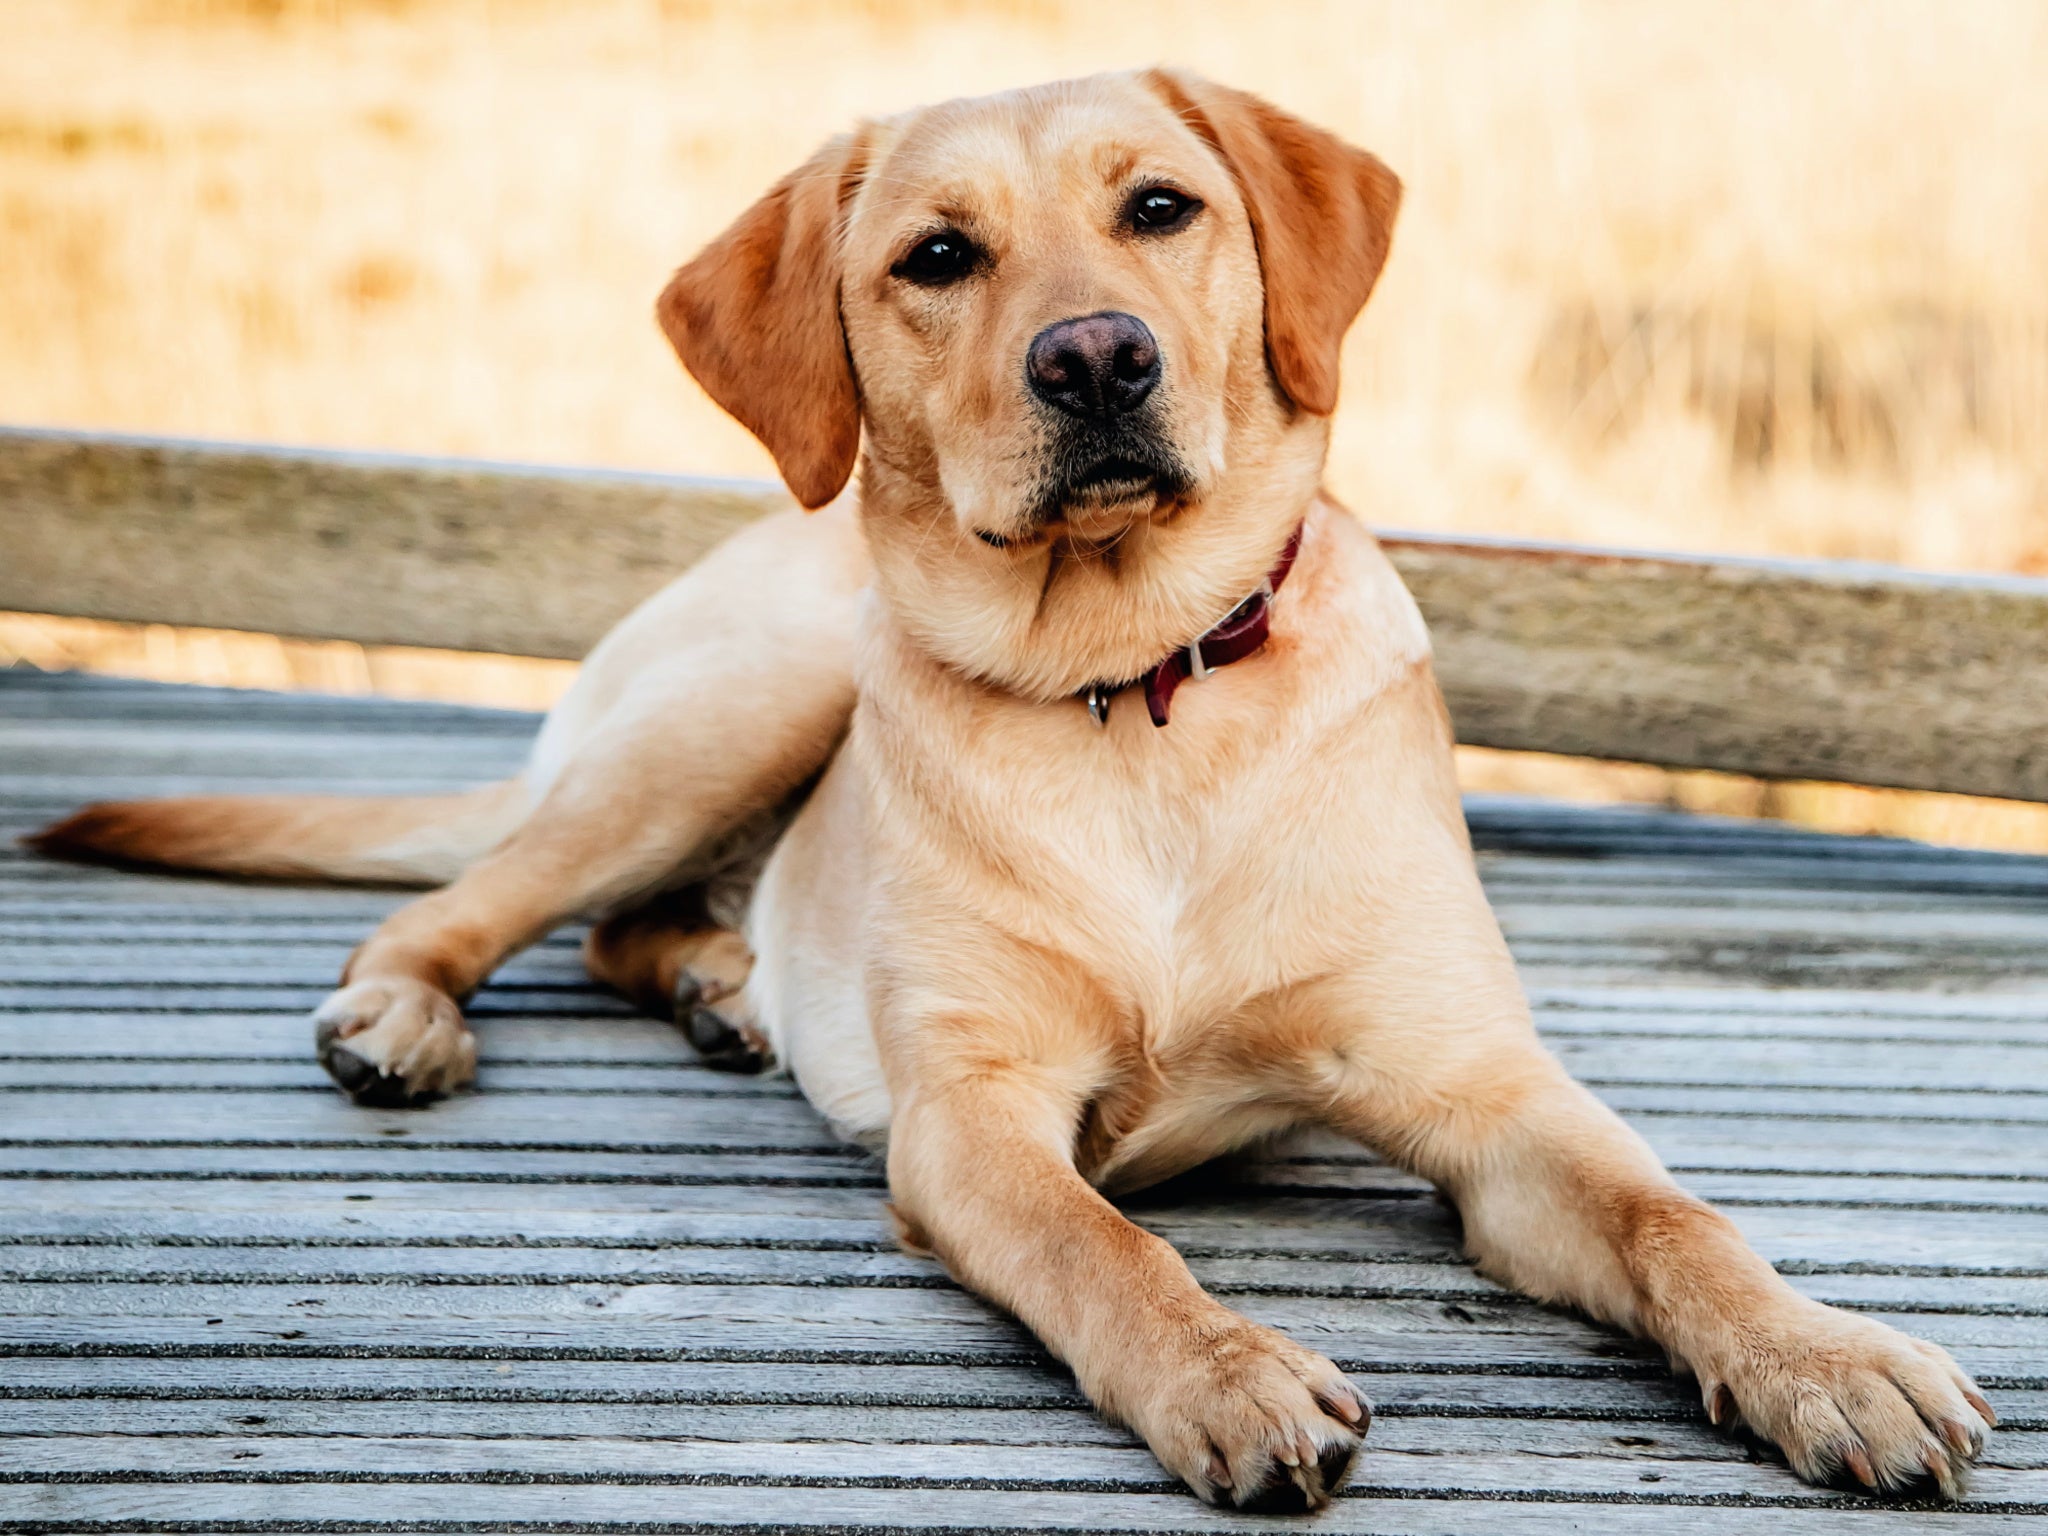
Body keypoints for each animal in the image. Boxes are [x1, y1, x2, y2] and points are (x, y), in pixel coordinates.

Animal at [28, 72, 1982, 1515]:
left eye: (1161, 210)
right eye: (938, 256)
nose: (1095, 357)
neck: (1136, 692)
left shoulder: (1484, 1097)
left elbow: (1675, 1217)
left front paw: (1828, 1357)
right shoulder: (972, 1117)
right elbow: (1100, 1245)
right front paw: (1224, 1370)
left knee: (628, 929)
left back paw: (728, 989)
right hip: (744, 702)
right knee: (479, 902)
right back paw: (407, 1017)